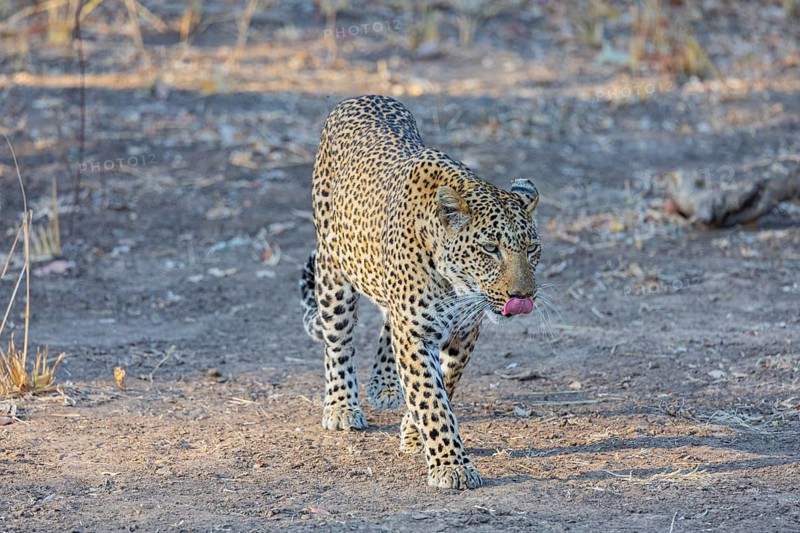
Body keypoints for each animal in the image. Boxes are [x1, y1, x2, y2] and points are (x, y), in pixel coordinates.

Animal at [299, 94, 541, 490]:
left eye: (532, 248)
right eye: (490, 249)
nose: (524, 295)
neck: (457, 285)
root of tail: (362, 96)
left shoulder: (464, 331)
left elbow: (444, 383)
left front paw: (414, 433)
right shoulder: (415, 333)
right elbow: (431, 398)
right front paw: (452, 466)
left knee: (386, 321)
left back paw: (385, 384)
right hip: (333, 270)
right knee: (338, 342)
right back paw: (342, 405)